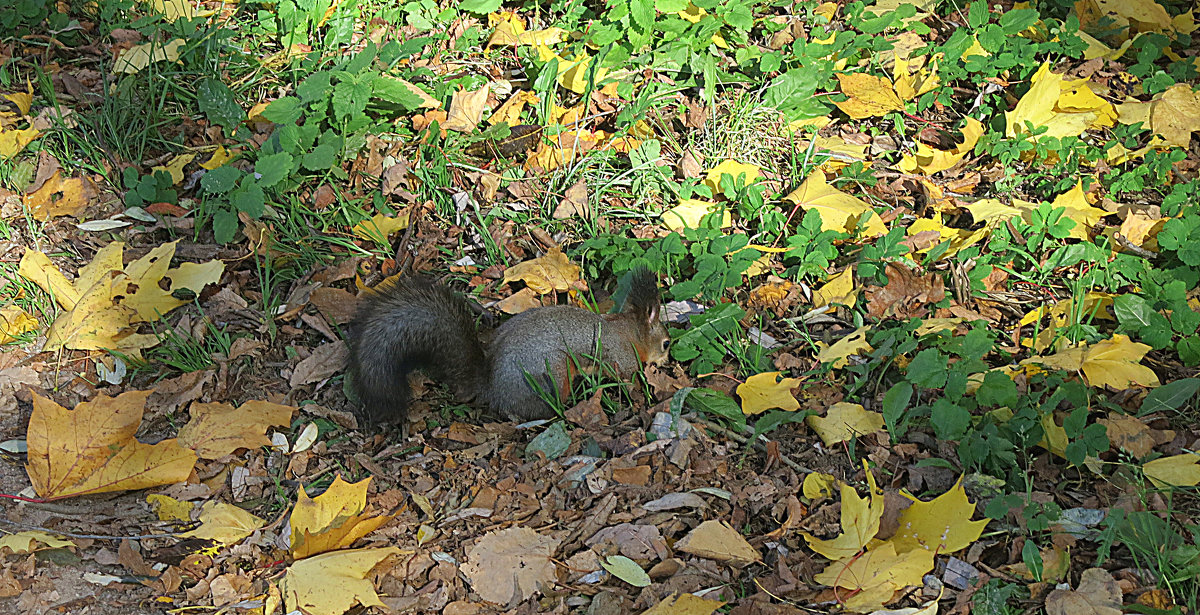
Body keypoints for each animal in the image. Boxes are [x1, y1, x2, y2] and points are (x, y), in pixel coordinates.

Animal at [345, 266, 676, 430]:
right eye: (666, 343)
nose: (667, 360)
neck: (630, 331)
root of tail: (492, 386)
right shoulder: (620, 359)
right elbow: (625, 379)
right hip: (554, 375)